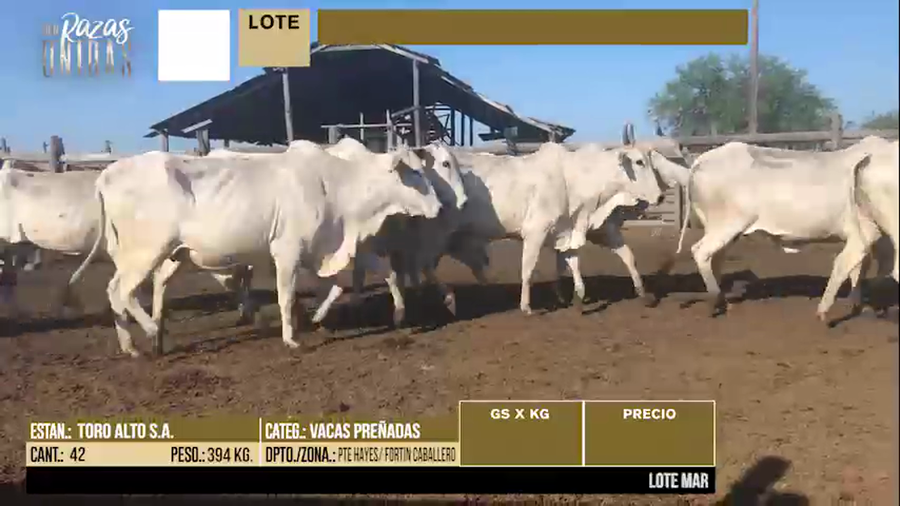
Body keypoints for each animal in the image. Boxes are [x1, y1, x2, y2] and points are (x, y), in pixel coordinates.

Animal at [69, 142, 442, 357]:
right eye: (415, 175)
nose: (439, 207)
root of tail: (107, 174)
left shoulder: (330, 247)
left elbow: (378, 274)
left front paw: (398, 314)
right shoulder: (287, 251)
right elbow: (286, 297)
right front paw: (291, 338)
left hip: (173, 254)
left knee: (142, 289)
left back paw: (142, 342)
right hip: (144, 252)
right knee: (120, 291)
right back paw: (147, 335)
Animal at [671, 140, 887, 323]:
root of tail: (701, 160)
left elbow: (860, 269)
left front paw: (859, 304)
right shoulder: (864, 232)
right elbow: (857, 267)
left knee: (715, 258)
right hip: (727, 225)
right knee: (701, 252)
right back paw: (717, 300)